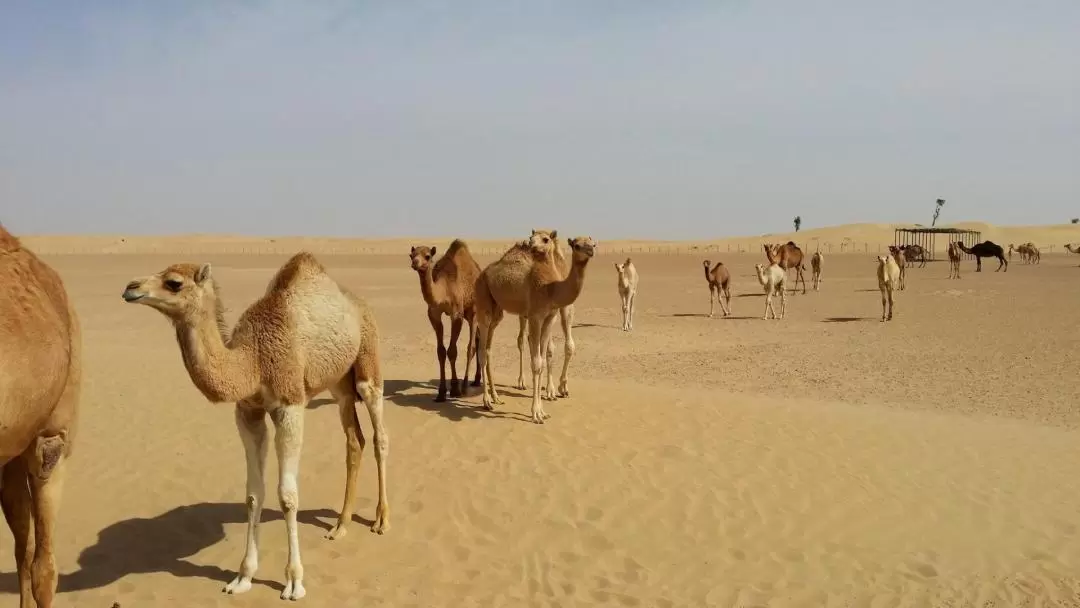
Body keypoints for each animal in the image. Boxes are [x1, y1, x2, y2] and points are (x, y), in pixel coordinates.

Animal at [122, 250, 388, 600]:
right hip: (339, 383)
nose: (131, 287)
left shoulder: (290, 404)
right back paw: (340, 526)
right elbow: (253, 495)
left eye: (174, 282)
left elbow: (287, 496)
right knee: (354, 438)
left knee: (380, 435)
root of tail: (358, 302)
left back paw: (381, 521)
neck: (254, 360)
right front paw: (243, 577)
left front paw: (294, 582)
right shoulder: (248, 411)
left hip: (368, 361)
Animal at [408, 240, 481, 401]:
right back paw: (477, 380)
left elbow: (452, 351)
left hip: (473, 310)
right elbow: (440, 352)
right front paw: (441, 393)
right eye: (411, 255)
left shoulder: (457, 313)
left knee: (471, 346)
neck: (444, 289)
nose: (415, 263)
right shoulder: (434, 314)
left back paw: (465, 386)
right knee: (479, 340)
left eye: (427, 256)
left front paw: (454, 389)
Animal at [477, 228, 600, 423]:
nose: (591, 250)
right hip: (484, 300)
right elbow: (536, 362)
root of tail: (483, 272)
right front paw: (536, 412)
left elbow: (543, 358)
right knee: (483, 349)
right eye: (576, 245)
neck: (552, 288)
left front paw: (544, 409)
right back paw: (487, 400)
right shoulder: (535, 317)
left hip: (497, 310)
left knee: (489, 348)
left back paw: (496, 397)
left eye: (593, 243)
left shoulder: (550, 317)